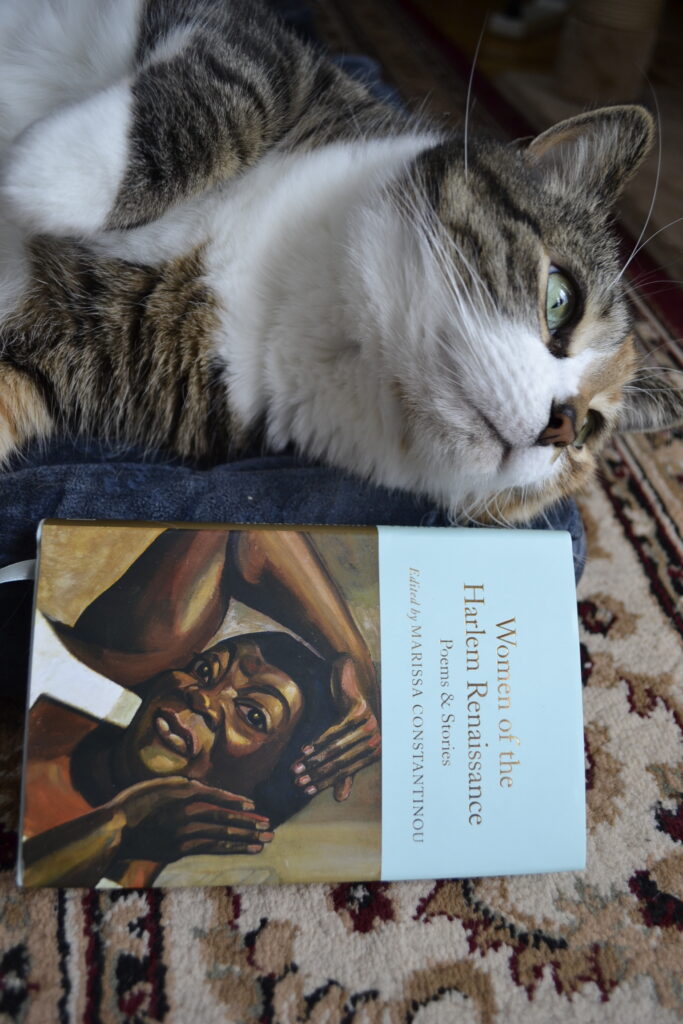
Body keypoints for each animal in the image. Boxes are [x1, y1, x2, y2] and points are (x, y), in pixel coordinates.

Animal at [0, 0, 679, 520]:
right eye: (560, 298)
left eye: (589, 431)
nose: (561, 425)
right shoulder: (279, 54)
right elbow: (239, 91)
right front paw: (37, 176)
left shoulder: (98, 339)